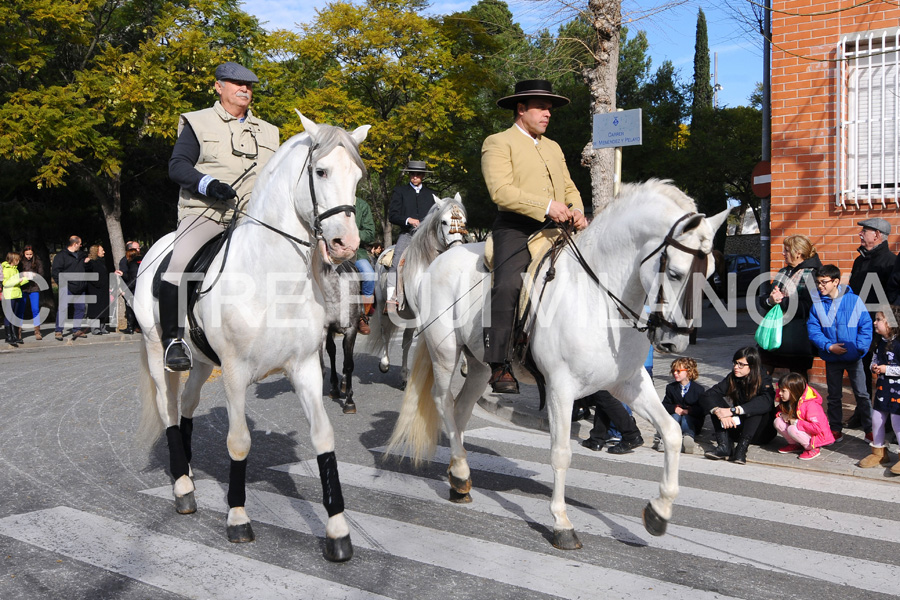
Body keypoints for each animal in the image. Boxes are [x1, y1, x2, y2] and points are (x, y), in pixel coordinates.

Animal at [133, 111, 370, 564]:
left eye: (358, 176)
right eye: (320, 171)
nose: (345, 244)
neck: (271, 277)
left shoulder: (306, 368)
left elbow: (323, 438)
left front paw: (337, 530)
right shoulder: (235, 373)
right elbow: (239, 442)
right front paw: (238, 518)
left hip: (202, 362)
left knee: (186, 406)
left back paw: (188, 467)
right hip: (158, 353)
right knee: (169, 409)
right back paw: (183, 487)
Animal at [370, 195, 472, 386]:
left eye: (464, 221)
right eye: (444, 221)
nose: (456, 250)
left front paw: (464, 367)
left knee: (406, 341)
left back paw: (404, 375)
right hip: (382, 306)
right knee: (384, 332)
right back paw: (385, 364)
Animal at [386, 180, 732, 552]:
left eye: (711, 274)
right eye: (675, 273)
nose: (675, 343)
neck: (598, 296)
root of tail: (437, 262)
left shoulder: (628, 384)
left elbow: (671, 433)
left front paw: (659, 511)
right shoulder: (560, 389)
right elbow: (561, 453)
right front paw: (562, 523)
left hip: (480, 366)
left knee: (461, 409)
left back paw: (458, 475)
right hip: (445, 352)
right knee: (443, 401)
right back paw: (461, 472)